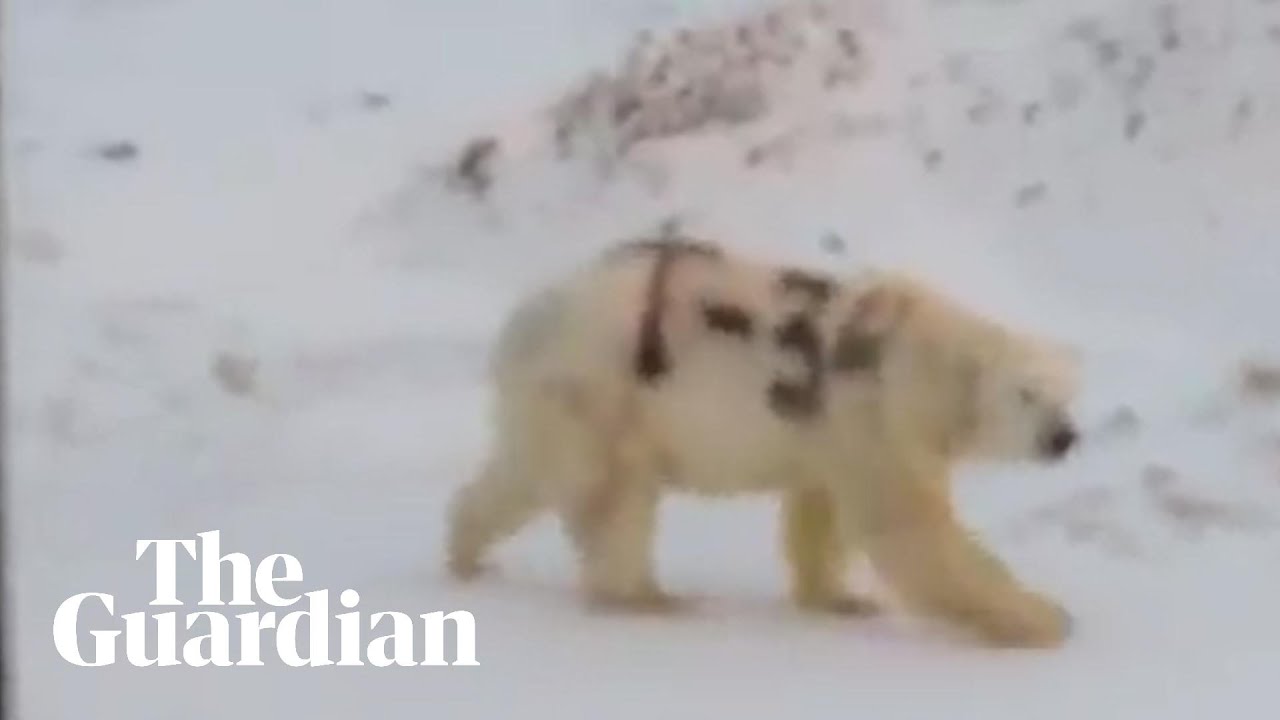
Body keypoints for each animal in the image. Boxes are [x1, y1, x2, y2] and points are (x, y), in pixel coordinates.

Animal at [445, 236, 1082, 648]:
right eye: (1027, 393)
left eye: (1070, 392)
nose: (1063, 438)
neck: (920, 357)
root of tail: (527, 317)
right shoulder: (875, 413)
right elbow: (910, 528)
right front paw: (1043, 618)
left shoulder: (833, 431)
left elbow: (819, 511)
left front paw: (842, 599)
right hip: (606, 386)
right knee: (611, 493)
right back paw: (648, 599)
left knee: (523, 472)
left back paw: (468, 555)